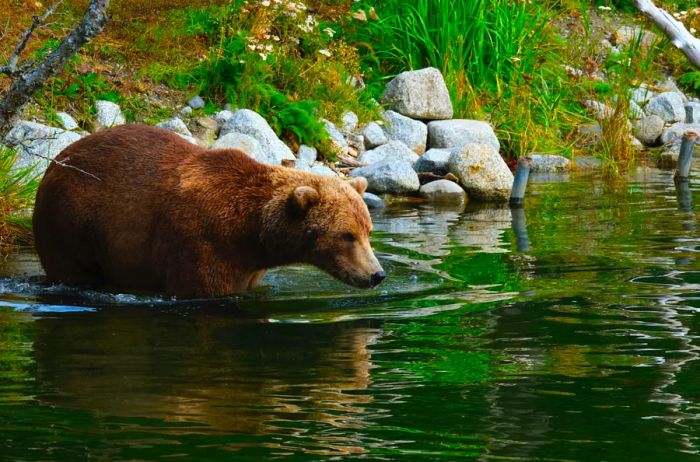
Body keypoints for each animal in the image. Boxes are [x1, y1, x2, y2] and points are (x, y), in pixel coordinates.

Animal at [32, 124, 386, 298]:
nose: (376, 275)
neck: (252, 234)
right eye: (346, 235)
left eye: (367, 231)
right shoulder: (205, 246)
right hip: (71, 222)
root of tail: (56, 162)